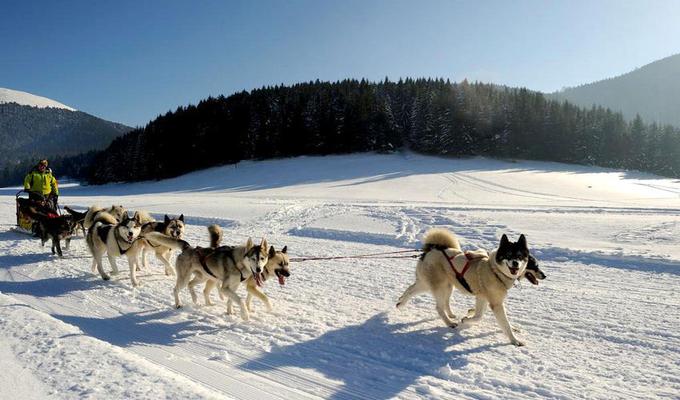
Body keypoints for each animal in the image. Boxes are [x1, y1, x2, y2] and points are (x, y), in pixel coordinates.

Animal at [398, 230, 536, 346]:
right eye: (508, 254)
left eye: (520, 256)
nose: (515, 263)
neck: (494, 270)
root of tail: (431, 250)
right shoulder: (496, 304)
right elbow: (503, 323)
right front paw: (515, 340)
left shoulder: (482, 298)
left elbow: (479, 315)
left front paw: (467, 317)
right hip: (439, 287)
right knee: (438, 307)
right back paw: (449, 322)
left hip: (439, 285)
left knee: (411, 290)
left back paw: (401, 302)